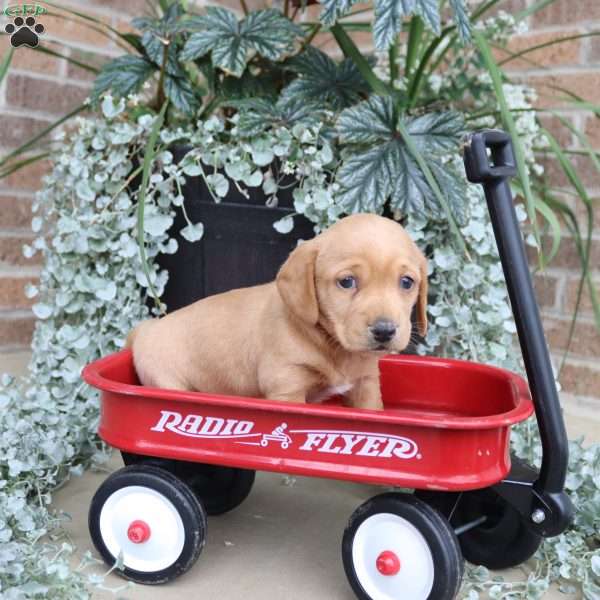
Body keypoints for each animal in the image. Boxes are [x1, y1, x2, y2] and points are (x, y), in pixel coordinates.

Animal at [127, 213, 426, 410]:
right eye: (346, 282)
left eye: (407, 282)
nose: (385, 331)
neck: (330, 343)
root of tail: (146, 328)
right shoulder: (287, 387)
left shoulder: (365, 386)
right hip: (166, 380)